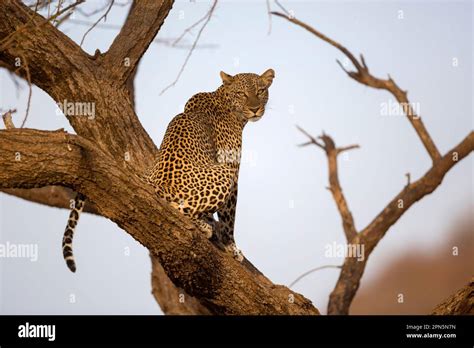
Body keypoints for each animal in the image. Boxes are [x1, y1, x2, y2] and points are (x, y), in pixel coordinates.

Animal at [60, 68, 274, 272]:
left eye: (260, 91)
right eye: (241, 93)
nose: (255, 109)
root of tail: (156, 183)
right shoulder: (232, 169)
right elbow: (229, 219)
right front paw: (232, 248)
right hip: (222, 176)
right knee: (180, 209)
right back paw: (204, 227)